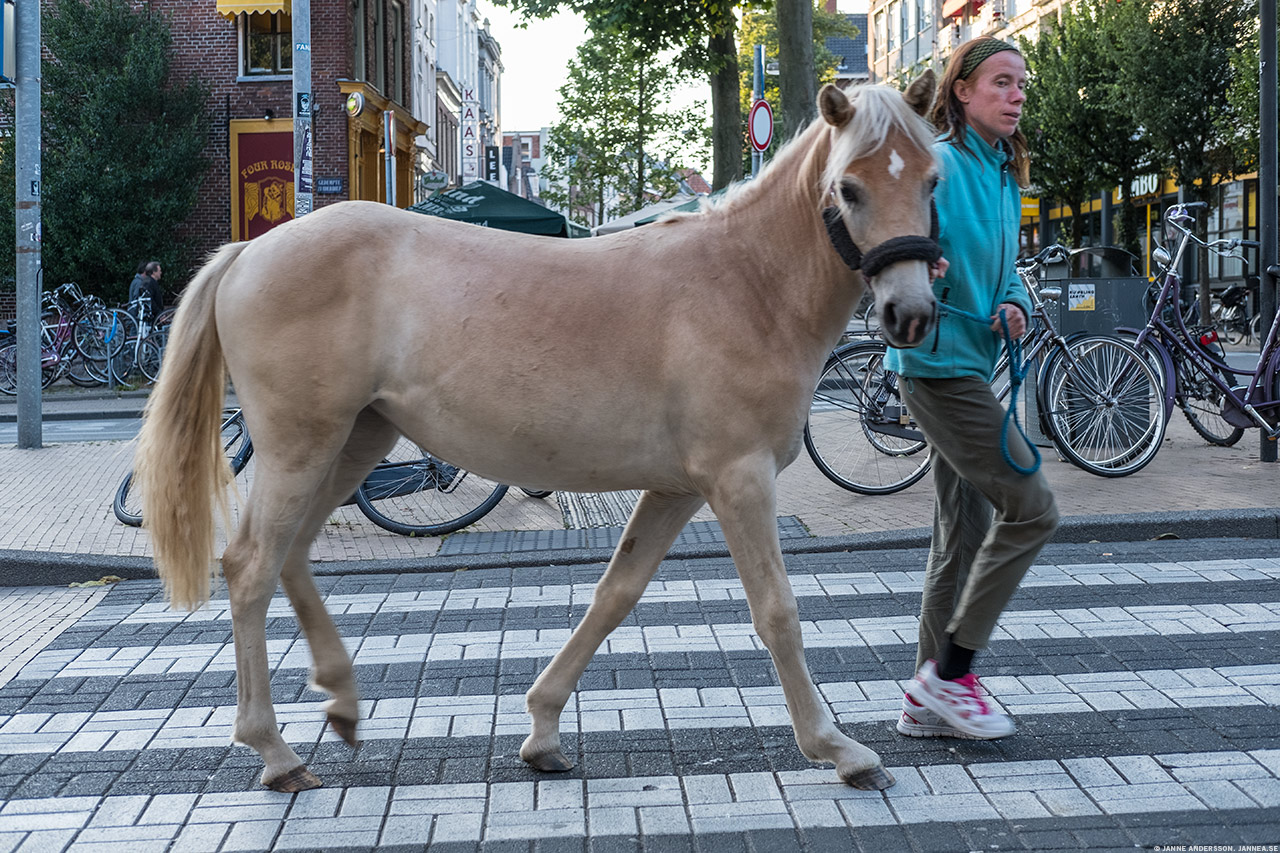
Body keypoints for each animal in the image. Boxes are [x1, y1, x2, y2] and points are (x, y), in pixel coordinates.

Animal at [137, 73, 942, 788]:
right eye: (850, 188)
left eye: (933, 182)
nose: (909, 314)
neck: (750, 285)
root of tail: (251, 250)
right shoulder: (739, 479)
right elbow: (777, 611)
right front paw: (839, 748)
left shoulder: (678, 488)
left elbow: (615, 593)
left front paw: (543, 729)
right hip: (301, 445)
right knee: (249, 565)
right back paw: (273, 750)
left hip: (355, 440)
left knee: (292, 554)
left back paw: (340, 700)